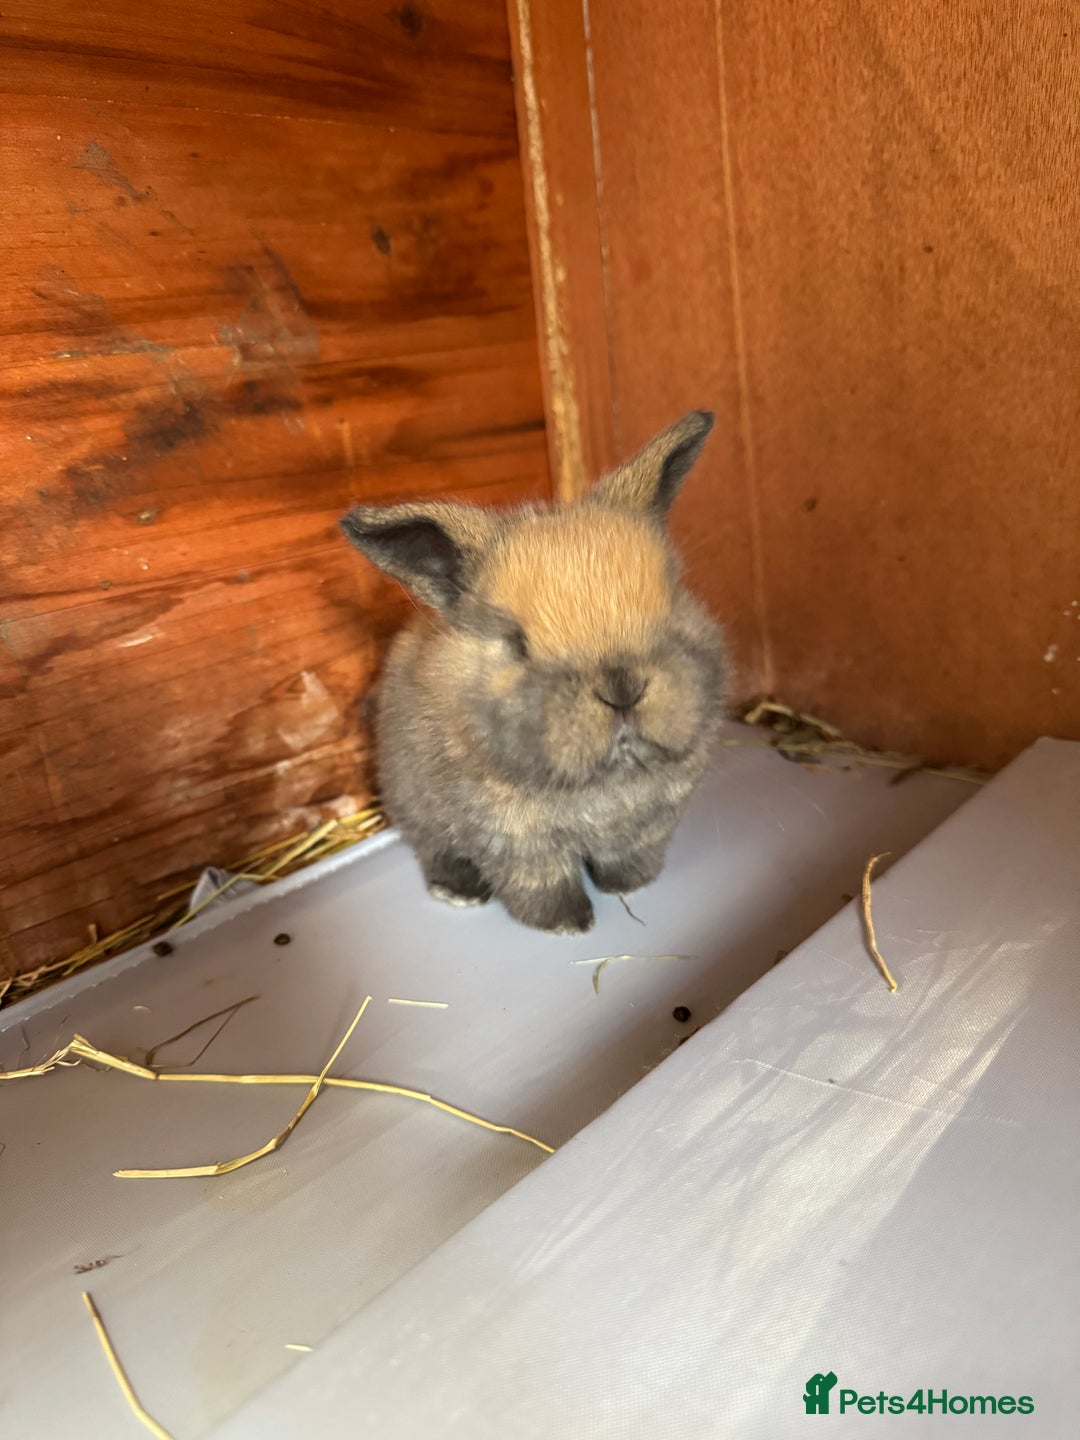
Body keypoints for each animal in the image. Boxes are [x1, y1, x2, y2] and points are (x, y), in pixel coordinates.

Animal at [340, 409, 727, 934]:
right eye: (517, 644)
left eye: (672, 603)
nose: (622, 689)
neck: (601, 781)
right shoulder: (517, 842)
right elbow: (542, 884)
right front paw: (568, 925)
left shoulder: (647, 826)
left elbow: (626, 858)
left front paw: (630, 886)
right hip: (415, 805)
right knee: (434, 850)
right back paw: (459, 892)